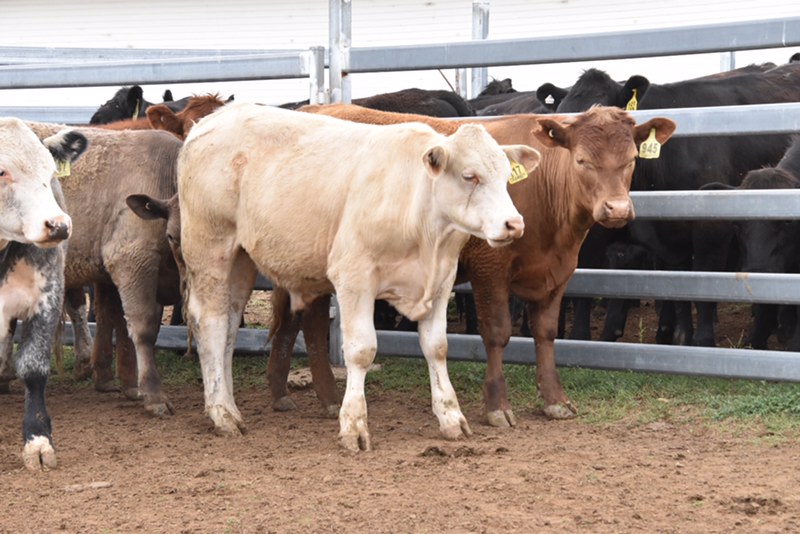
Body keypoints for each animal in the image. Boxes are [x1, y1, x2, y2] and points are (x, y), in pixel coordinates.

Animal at [178, 102, 537, 450]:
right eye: (469, 176)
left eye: (507, 176)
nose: (514, 224)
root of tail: (208, 122)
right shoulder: (354, 277)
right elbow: (361, 350)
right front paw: (354, 426)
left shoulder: (440, 281)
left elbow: (436, 347)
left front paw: (451, 418)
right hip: (210, 247)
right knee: (210, 321)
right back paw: (222, 414)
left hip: (240, 261)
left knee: (228, 323)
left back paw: (228, 405)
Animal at [271, 103, 674, 428]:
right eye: (582, 161)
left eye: (632, 159)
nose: (616, 209)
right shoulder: (489, 267)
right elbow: (497, 333)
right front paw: (497, 406)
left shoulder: (557, 273)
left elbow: (545, 333)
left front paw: (555, 400)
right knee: (308, 321)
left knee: (299, 320)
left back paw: (295, 395)